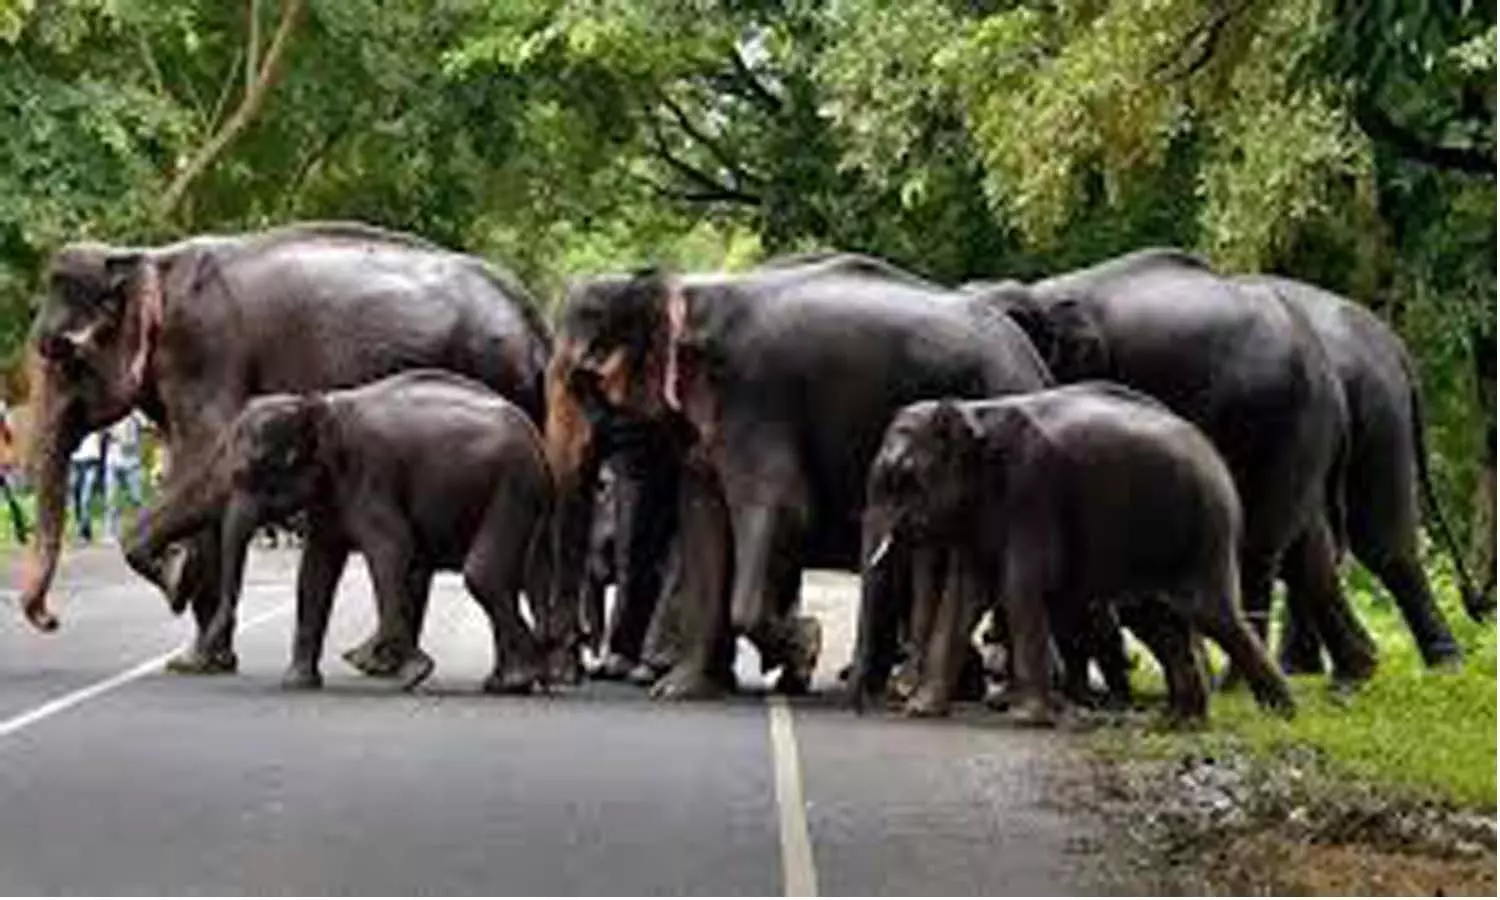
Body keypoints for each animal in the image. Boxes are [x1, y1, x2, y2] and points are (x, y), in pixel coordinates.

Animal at [197, 371, 553, 693]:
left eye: (253, 473)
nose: (213, 655)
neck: (318, 405)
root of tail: (537, 439)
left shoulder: (370, 475)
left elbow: (392, 549)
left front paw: (410, 671)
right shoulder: (330, 496)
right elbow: (315, 570)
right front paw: (297, 683)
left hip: (513, 487)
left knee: (483, 576)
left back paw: (522, 677)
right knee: (502, 580)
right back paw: (509, 682)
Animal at [545, 253, 1052, 699]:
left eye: (584, 379)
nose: (570, 674)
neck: (686, 288)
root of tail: (1036, 364)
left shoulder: (754, 400)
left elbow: (784, 509)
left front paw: (806, 647)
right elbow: (704, 524)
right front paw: (680, 691)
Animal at [852, 385, 1296, 724]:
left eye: (902, 477)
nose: (862, 707)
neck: (975, 411)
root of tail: (1213, 453)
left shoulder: (1033, 492)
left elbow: (1019, 587)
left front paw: (1027, 719)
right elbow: (963, 597)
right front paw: (921, 711)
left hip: (1204, 526)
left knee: (1211, 613)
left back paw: (1281, 715)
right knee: (1158, 620)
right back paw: (1179, 722)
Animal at [966, 248, 1379, 686]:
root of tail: (1331, 382)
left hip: (1282, 425)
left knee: (1260, 545)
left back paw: (1234, 683)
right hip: (1300, 438)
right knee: (1309, 544)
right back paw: (1356, 670)